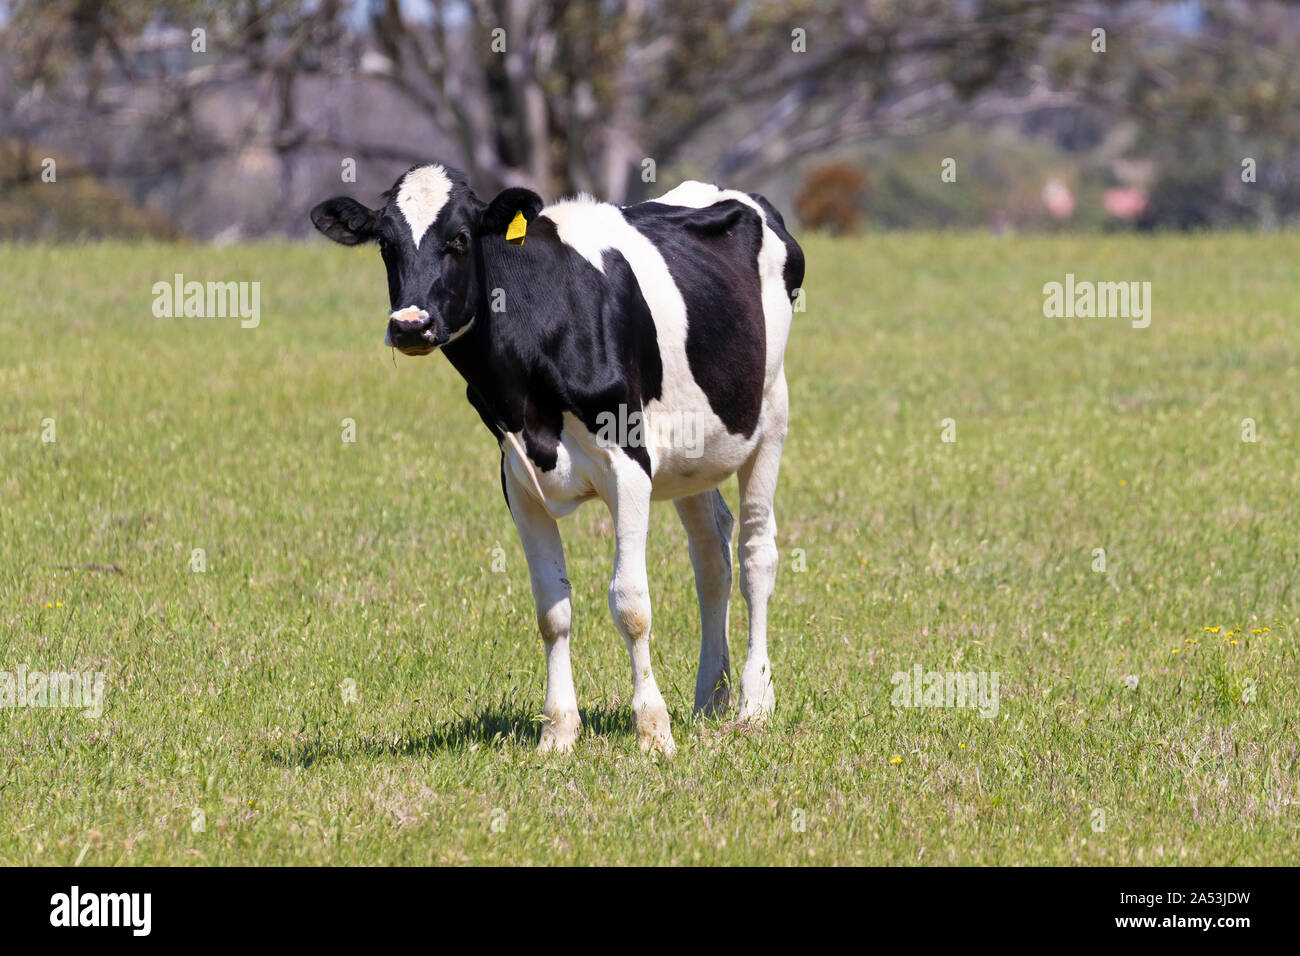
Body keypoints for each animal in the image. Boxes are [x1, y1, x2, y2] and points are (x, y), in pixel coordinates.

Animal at [310, 163, 803, 755]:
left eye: (460, 238)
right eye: (386, 244)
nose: (410, 325)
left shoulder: (629, 463)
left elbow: (630, 603)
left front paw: (652, 730)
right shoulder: (518, 479)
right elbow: (552, 609)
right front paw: (559, 732)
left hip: (770, 416)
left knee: (756, 556)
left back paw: (754, 704)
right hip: (693, 453)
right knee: (711, 557)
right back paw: (710, 698)